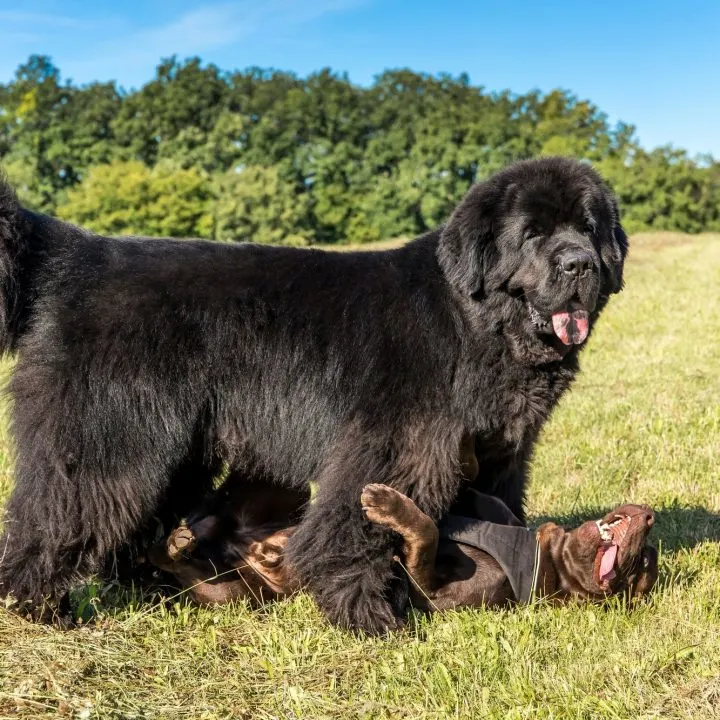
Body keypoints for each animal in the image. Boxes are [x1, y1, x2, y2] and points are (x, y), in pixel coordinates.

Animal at [149, 480, 656, 612]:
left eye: (639, 570)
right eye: (648, 560)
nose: (650, 517)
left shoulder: (431, 590)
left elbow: (427, 532)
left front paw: (389, 505)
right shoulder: (494, 507)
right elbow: (472, 493)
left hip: (235, 594)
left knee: (188, 574)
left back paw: (172, 545)